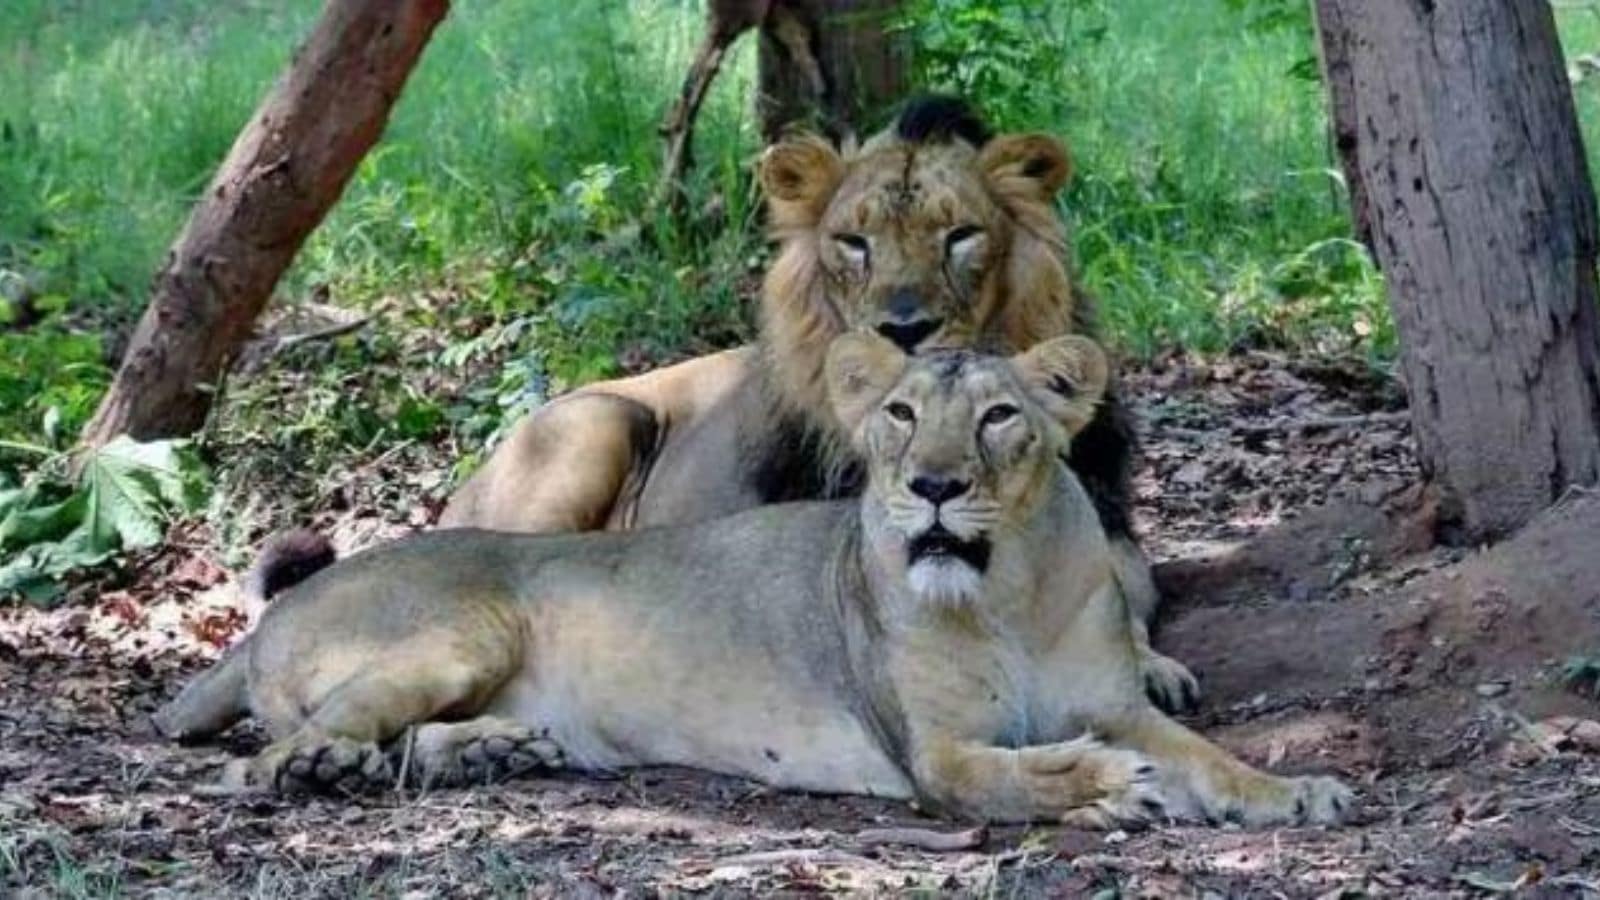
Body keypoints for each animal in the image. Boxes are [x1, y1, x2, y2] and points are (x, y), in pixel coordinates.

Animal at [156, 333, 1351, 829]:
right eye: (900, 414)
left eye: (999, 416)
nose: (931, 486)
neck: (1001, 587)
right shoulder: (930, 756)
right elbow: (1018, 778)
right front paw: (1109, 786)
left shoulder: (1113, 699)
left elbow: (1210, 756)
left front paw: (1295, 794)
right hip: (467, 629)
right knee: (275, 756)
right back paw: (327, 773)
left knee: (384, 743)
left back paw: (496, 751)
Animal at [441, 97, 1198, 712]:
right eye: (854, 243)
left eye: (960, 236)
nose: (903, 327)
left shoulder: (1107, 523)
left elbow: (1119, 596)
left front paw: (1150, 666)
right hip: (592, 425)